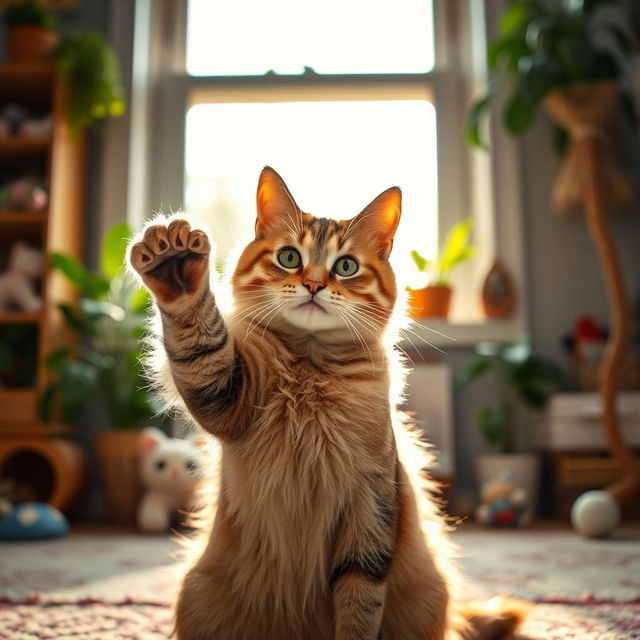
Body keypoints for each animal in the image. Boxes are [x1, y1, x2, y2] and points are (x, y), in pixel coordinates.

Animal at [129, 169, 524, 640]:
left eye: (346, 266)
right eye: (288, 257)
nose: (315, 284)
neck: (310, 371)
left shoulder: (370, 503)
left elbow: (360, 604)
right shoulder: (226, 399)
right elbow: (199, 339)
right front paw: (176, 270)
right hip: (197, 594)